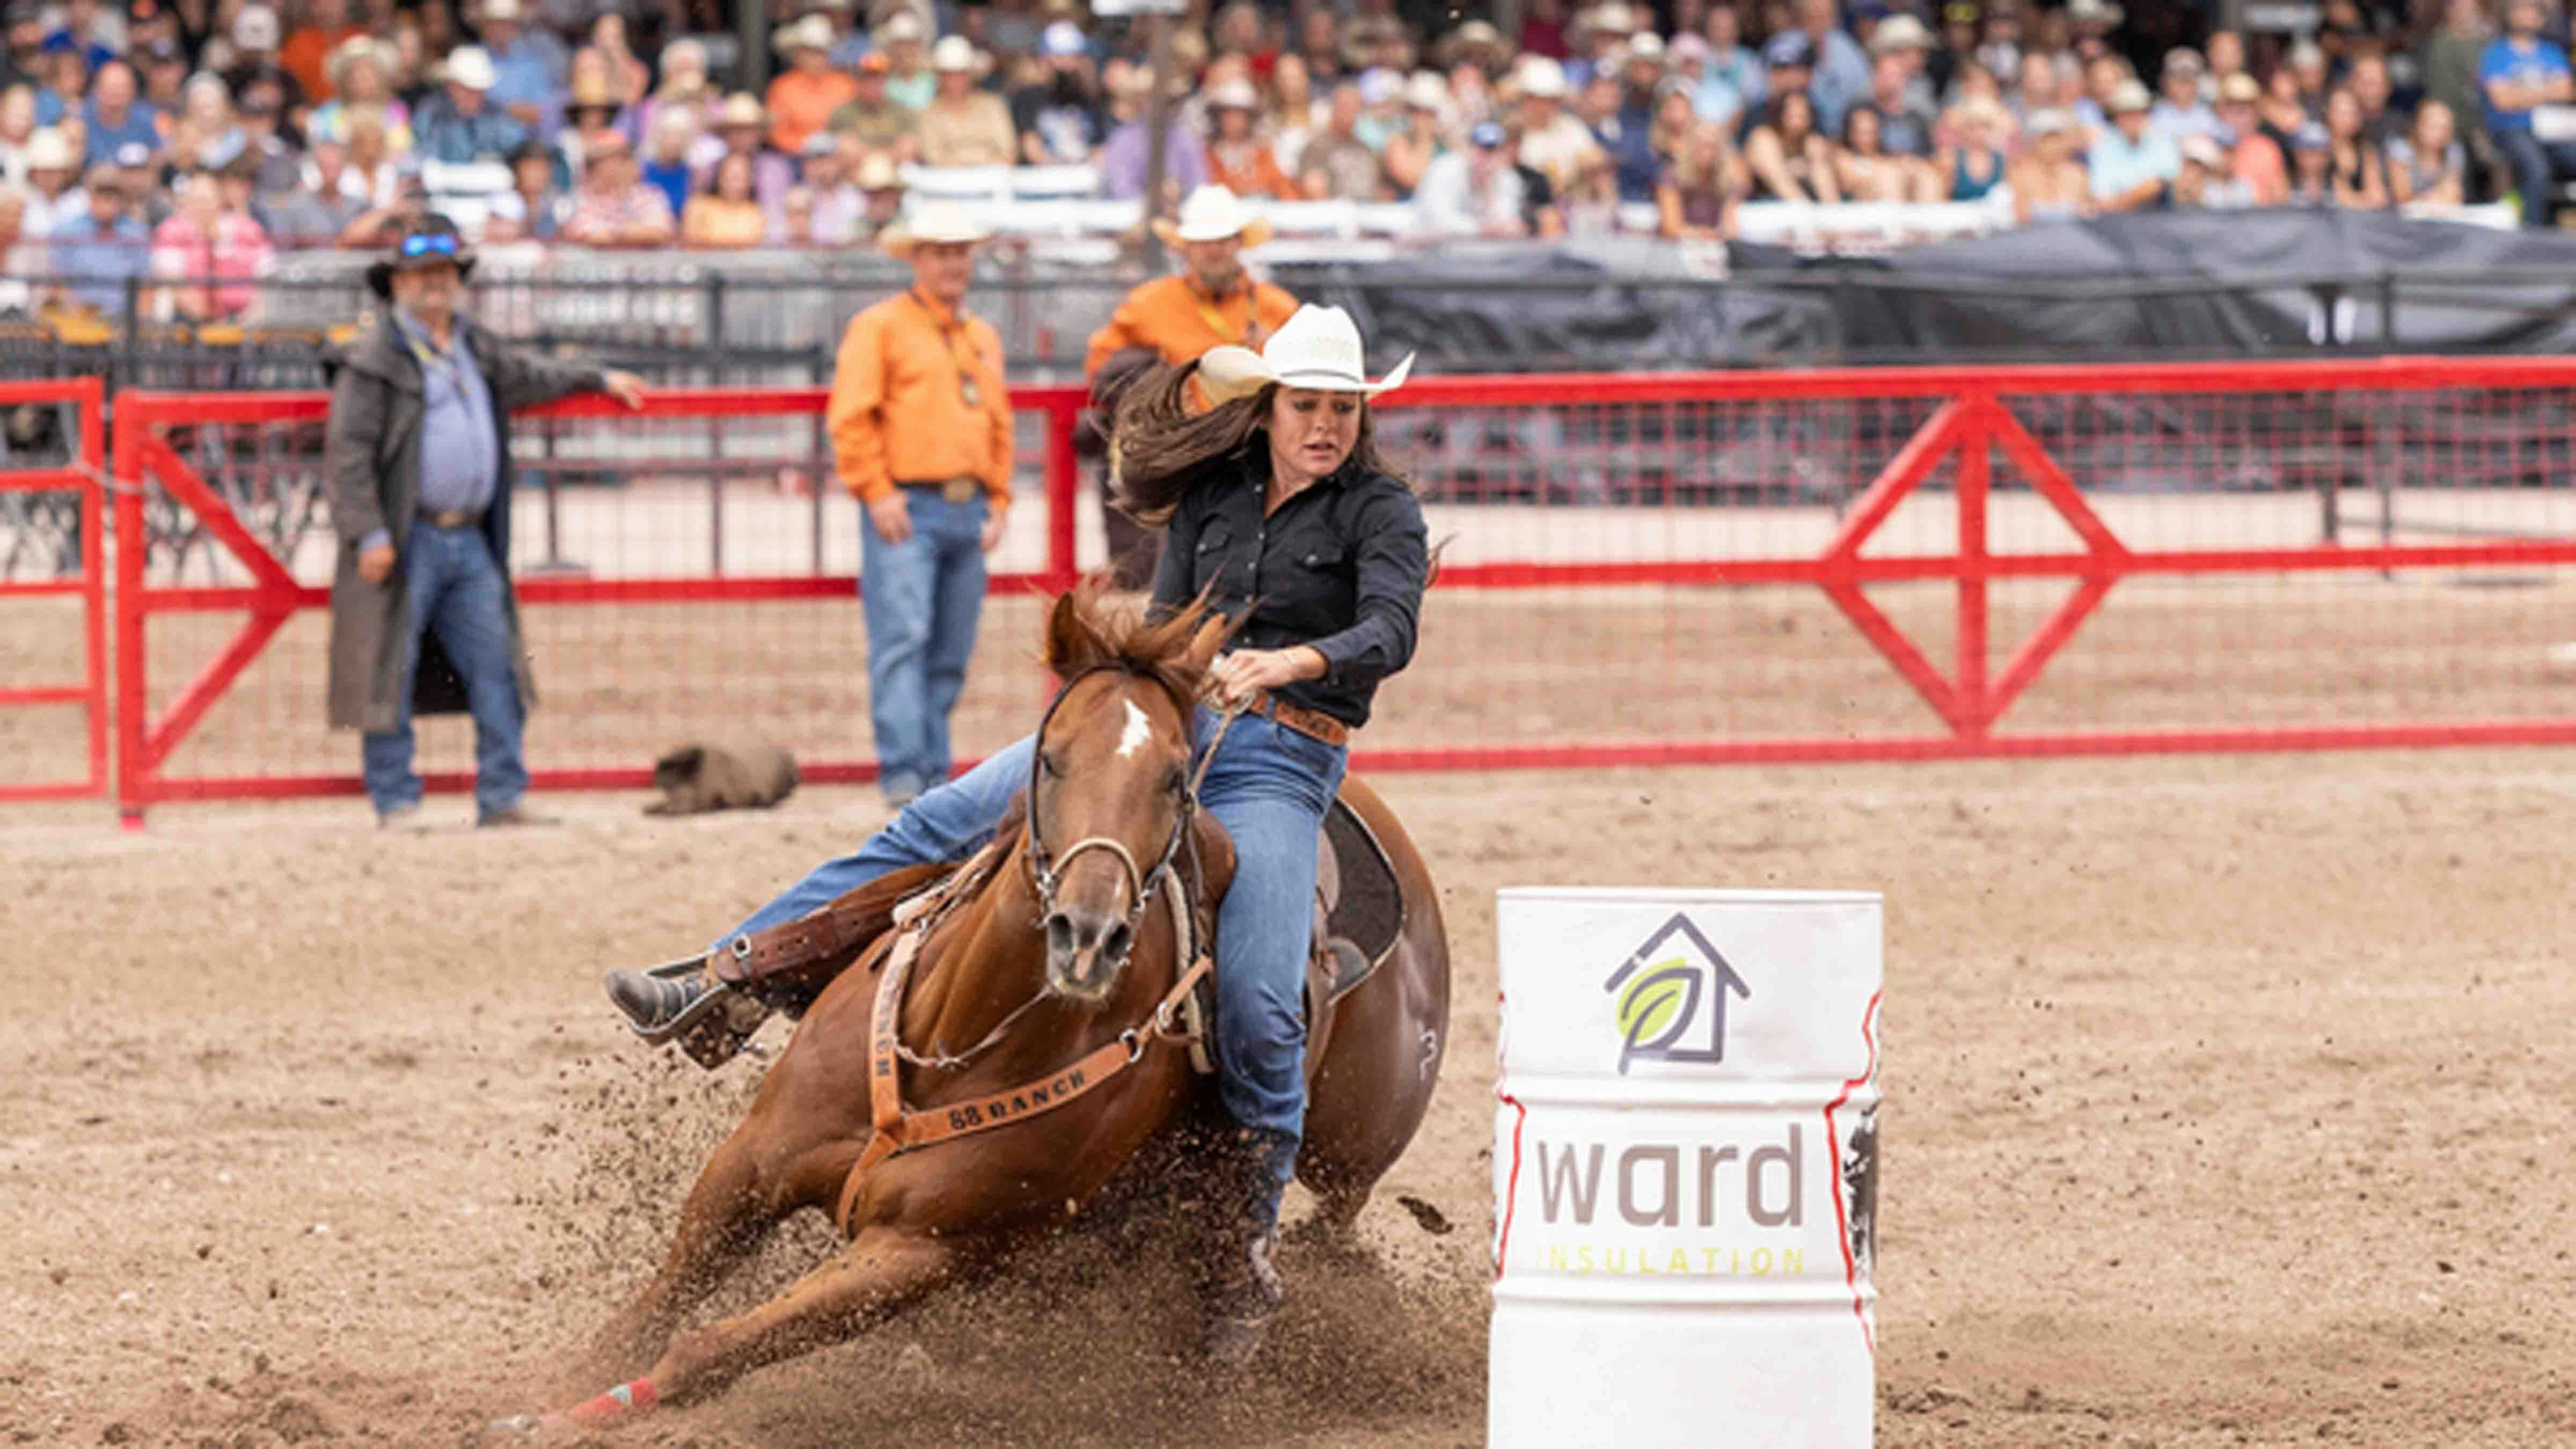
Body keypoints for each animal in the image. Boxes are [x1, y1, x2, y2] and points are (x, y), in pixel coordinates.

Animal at [517, 582, 1453, 1423]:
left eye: (1173, 779)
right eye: (1051, 757)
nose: (1088, 934)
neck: (957, 1036)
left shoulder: (921, 1253)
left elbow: (711, 1346)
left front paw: (566, 1417)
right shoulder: (751, 1163)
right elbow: (663, 1302)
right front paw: (551, 1387)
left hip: (1346, 1162)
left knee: (1317, 1222)